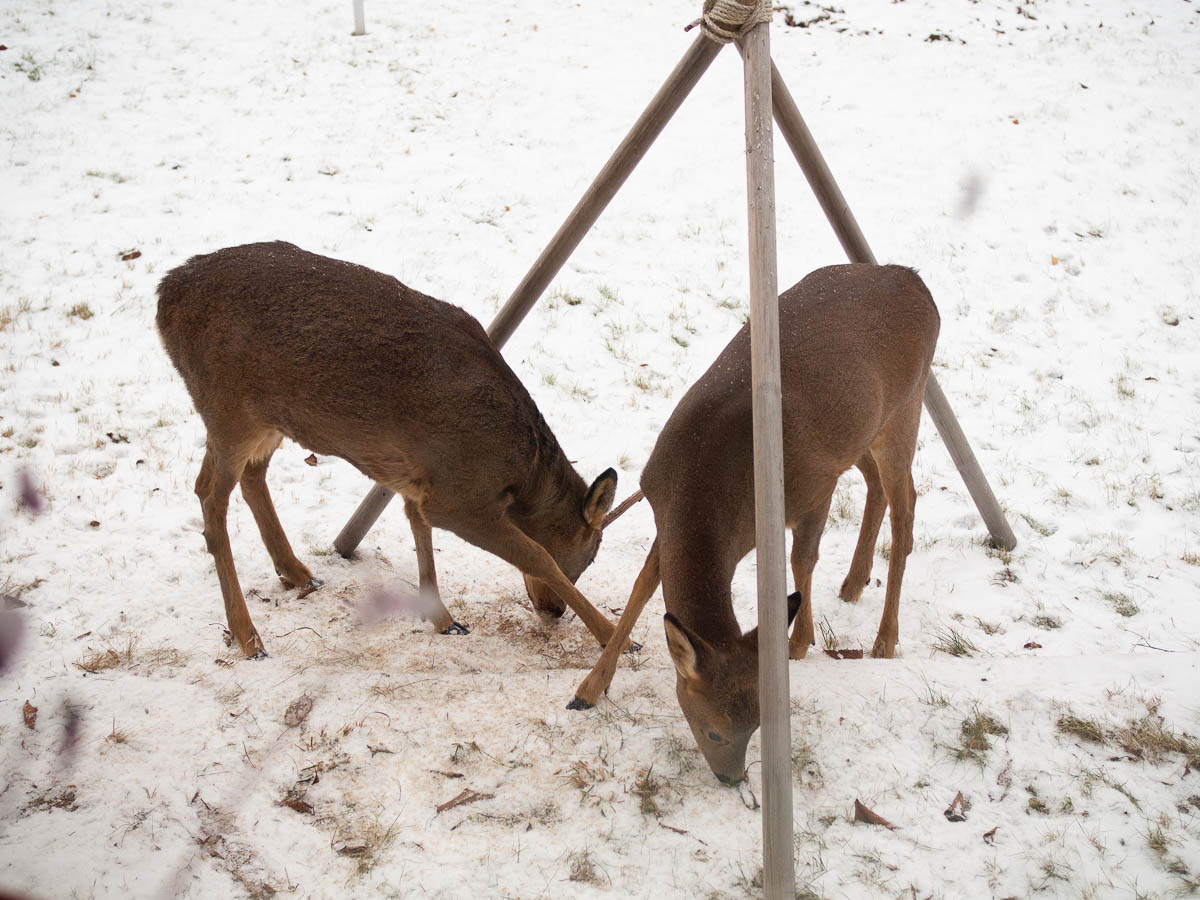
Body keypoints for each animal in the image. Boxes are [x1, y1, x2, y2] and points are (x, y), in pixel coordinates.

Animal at [156, 241, 626, 658]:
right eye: (589, 556)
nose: (553, 611)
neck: (518, 474)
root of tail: (165, 294)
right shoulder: (459, 496)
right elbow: (535, 555)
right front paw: (615, 638)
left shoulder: (418, 481)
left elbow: (418, 527)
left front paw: (444, 620)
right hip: (228, 410)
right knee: (209, 495)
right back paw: (248, 637)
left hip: (268, 421)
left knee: (251, 477)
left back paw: (297, 574)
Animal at [569, 263, 940, 784]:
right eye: (713, 730)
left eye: (759, 725)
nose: (733, 779)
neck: (709, 486)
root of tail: (916, 281)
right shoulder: (664, 510)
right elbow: (642, 587)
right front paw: (588, 688)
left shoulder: (814, 486)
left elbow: (801, 561)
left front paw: (798, 642)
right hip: (868, 426)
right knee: (879, 487)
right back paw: (854, 582)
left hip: (908, 406)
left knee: (906, 507)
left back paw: (885, 638)